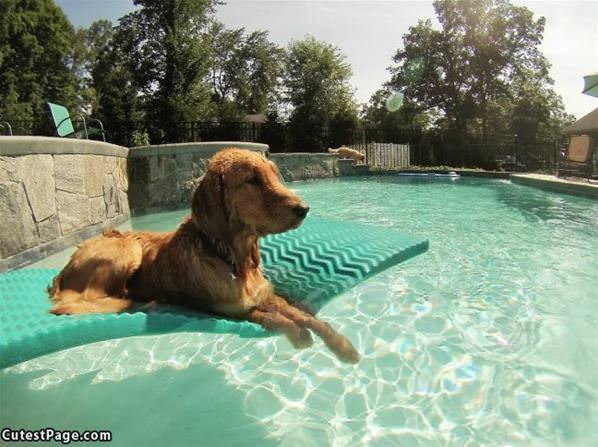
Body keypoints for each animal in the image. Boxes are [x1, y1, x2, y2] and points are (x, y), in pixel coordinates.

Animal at [48, 147, 360, 364]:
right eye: (252, 180)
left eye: (273, 173)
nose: (303, 208)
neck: (232, 259)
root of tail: (62, 272)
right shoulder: (233, 311)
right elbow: (277, 319)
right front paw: (298, 335)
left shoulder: (266, 295)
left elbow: (307, 317)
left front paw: (342, 345)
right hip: (127, 248)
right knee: (78, 301)